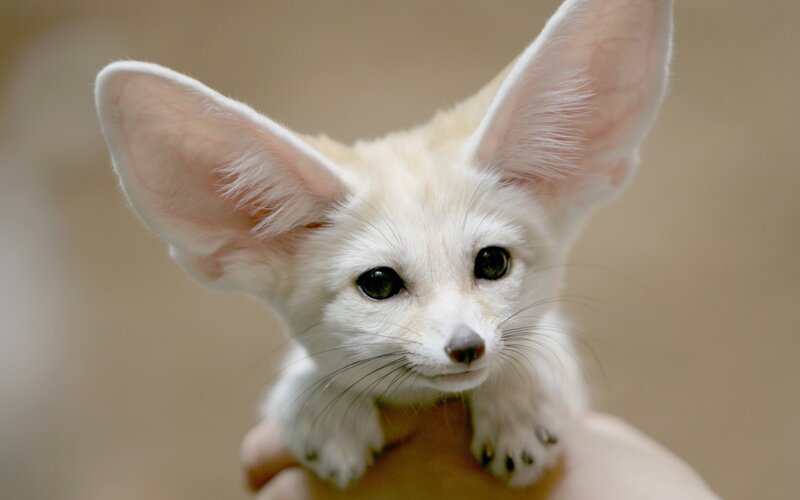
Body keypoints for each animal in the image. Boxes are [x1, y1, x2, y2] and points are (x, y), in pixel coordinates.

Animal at [95, 0, 673, 489]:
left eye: (492, 262)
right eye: (378, 283)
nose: (467, 347)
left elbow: (537, 344)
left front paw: (517, 403)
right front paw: (324, 406)